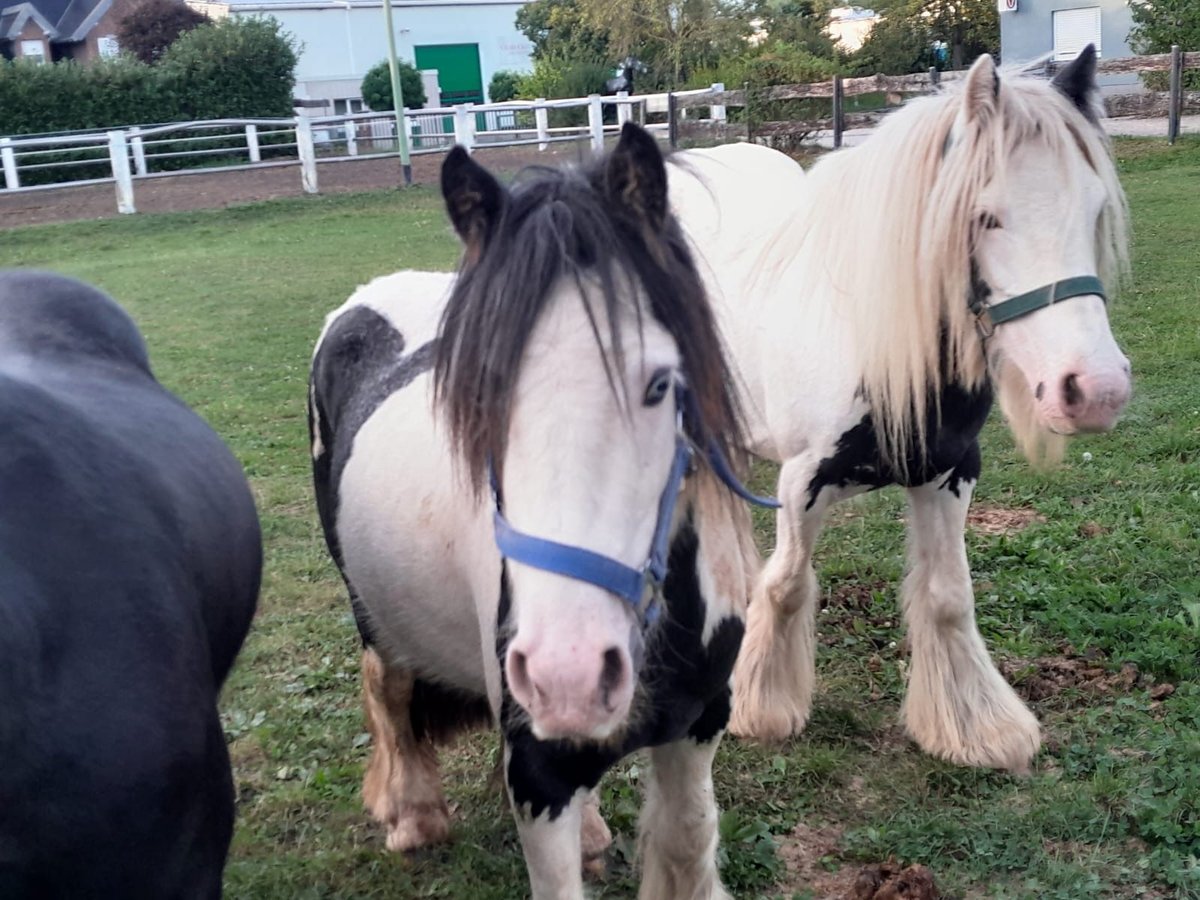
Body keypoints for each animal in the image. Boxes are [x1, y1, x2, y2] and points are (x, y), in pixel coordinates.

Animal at [309, 123, 772, 897]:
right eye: (478, 397)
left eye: (660, 384)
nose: (570, 674)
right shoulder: (537, 775)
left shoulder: (698, 726)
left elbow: (685, 843)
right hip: (368, 604)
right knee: (389, 686)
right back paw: (412, 815)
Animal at [672, 45, 1128, 772]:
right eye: (985, 215)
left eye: (1094, 210)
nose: (1095, 390)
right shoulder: (801, 481)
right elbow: (788, 583)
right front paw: (760, 707)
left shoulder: (950, 472)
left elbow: (947, 597)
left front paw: (974, 728)